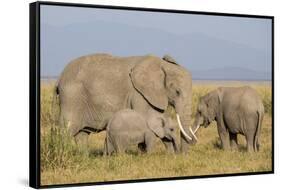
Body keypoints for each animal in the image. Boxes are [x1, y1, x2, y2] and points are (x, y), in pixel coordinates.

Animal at [54, 53, 195, 153]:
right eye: (177, 92)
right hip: (71, 98)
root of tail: (59, 78)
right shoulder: (139, 94)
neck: (161, 65)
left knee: (82, 134)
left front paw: (169, 155)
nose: (181, 154)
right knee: (66, 130)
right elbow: (148, 119)